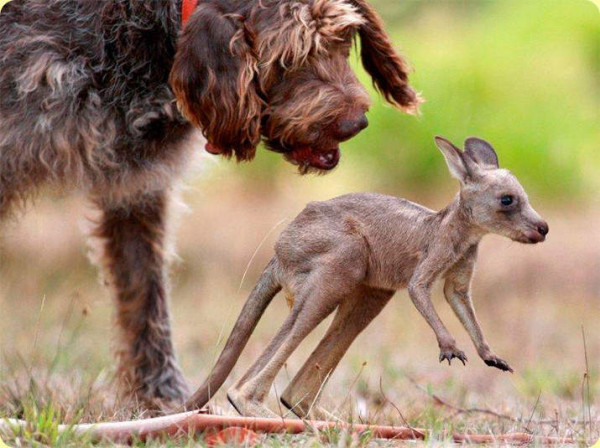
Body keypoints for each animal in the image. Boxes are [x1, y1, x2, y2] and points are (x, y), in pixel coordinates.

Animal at [0, 0, 420, 408]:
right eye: (286, 60)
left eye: (342, 39)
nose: (355, 124)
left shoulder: (136, 190)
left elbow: (144, 297)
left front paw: (161, 400)